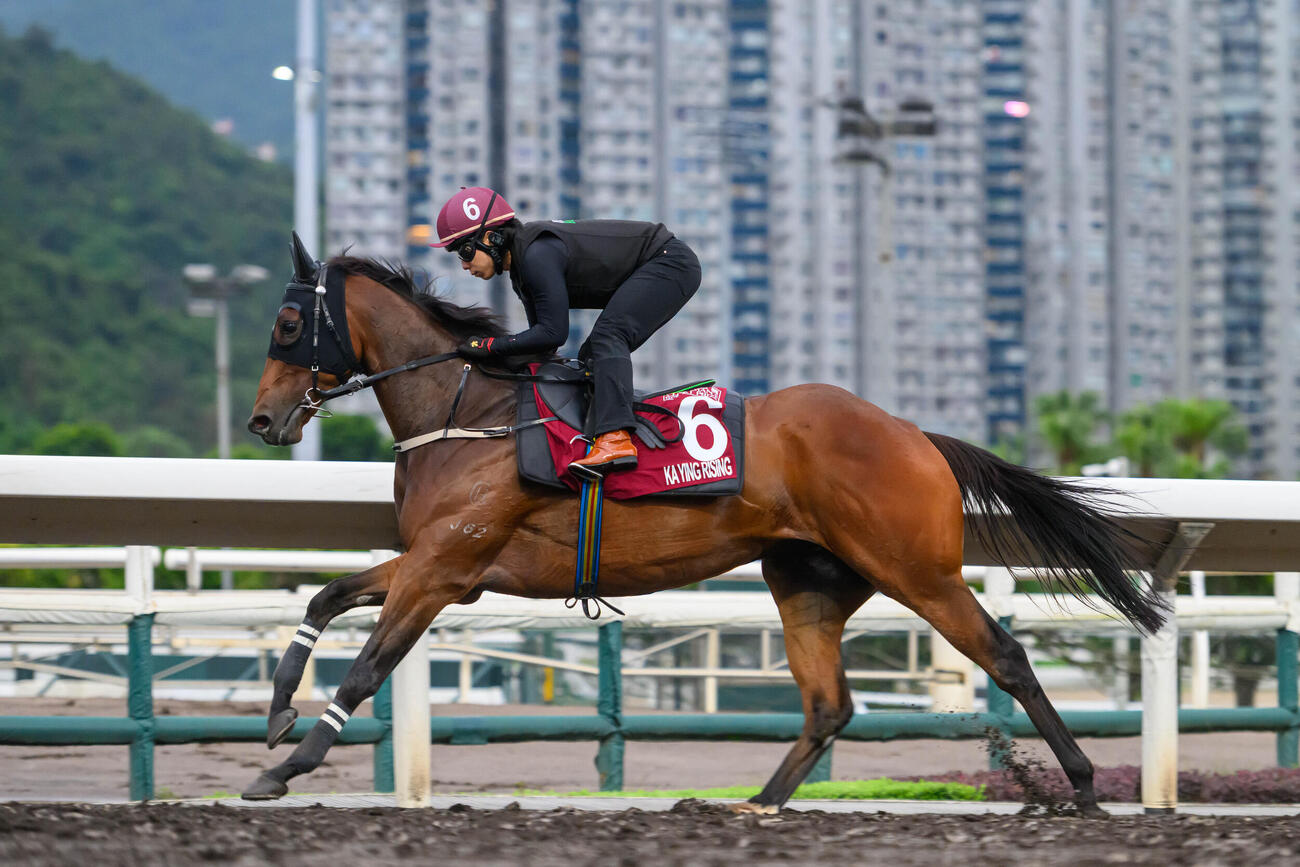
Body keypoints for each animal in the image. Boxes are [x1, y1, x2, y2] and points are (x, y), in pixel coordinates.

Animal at [242, 236, 1165, 816]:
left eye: (288, 324)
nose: (261, 421)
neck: (469, 415)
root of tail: (914, 433)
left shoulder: (441, 570)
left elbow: (368, 668)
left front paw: (287, 769)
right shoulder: (438, 564)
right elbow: (324, 599)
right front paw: (278, 711)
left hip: (918, 570)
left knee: (1004, 655)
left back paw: (1084, 786)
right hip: (807, 582)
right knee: (828, 704)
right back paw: (754, 803)